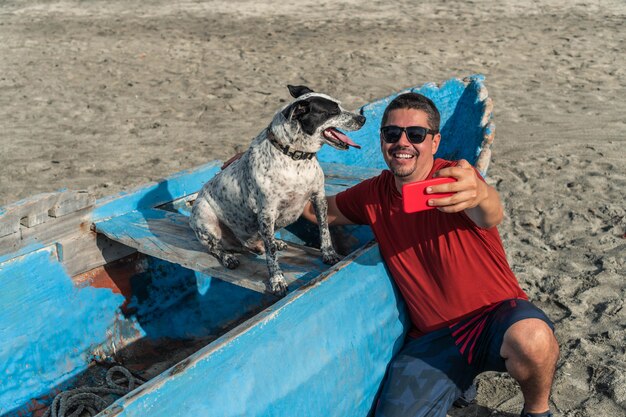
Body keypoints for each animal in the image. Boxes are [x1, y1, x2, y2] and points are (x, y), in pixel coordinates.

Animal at [188, 84, 364, 294]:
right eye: (333, 111)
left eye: (340, 105)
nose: (362, 118)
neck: (296, 157)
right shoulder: (266, 213)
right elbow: (271, 255)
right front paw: (277, 280)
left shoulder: (318, 197)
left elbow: (324, 229)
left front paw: (328, 254)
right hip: (206, 220)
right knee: (216, 248)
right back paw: (229, 257)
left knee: (262, 243)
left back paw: (273, 243)